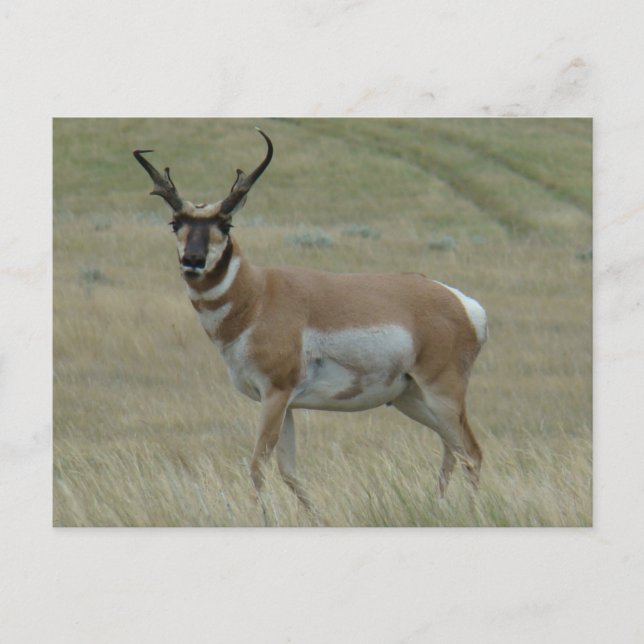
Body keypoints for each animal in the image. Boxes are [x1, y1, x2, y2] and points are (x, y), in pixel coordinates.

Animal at [133, 128, 487, 514]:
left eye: (225, 224)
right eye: (175, 223)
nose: (193, 260)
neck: (258, 295)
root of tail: (462, 302)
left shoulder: (275, 394)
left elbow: (258, 465)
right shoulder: (285, 403)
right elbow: (289, 471)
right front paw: (318, 517)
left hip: (443, 392)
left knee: (471, 453)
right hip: (411, 397)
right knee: (452, 449)